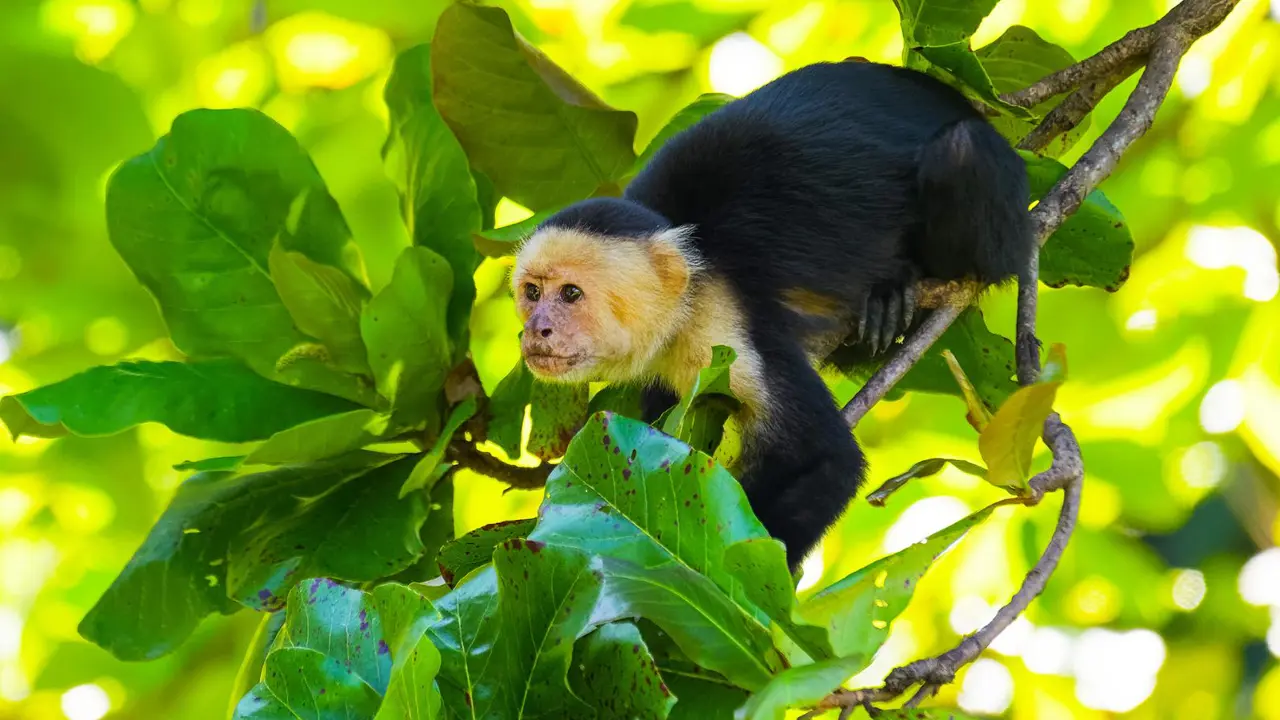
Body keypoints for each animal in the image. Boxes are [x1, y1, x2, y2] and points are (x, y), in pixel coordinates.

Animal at [510, 60, 1032, 570]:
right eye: (532, 293)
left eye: (571, 294)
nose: (537, 329)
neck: (688, 290)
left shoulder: (723, 327)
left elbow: (826, 458)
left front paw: (744, 585)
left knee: (961, 152)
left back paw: (899, 285)